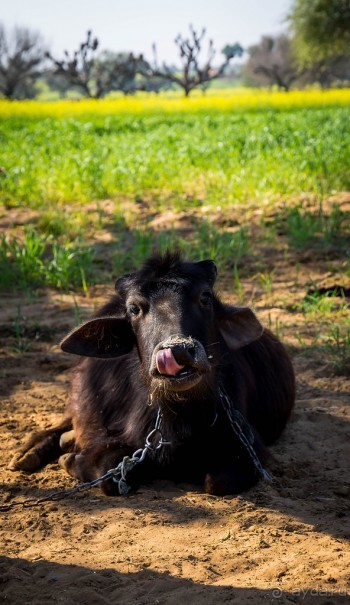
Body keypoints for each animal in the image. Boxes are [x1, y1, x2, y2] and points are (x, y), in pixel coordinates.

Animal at [10, 252, 296, 494]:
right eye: (134, 308)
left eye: (204, 297)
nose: (178, 351)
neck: (179, 416)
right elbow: (111, 473)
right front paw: (69, 459)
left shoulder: (249, 446)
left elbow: (218, 481)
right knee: (66, 421)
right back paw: (29, 452)